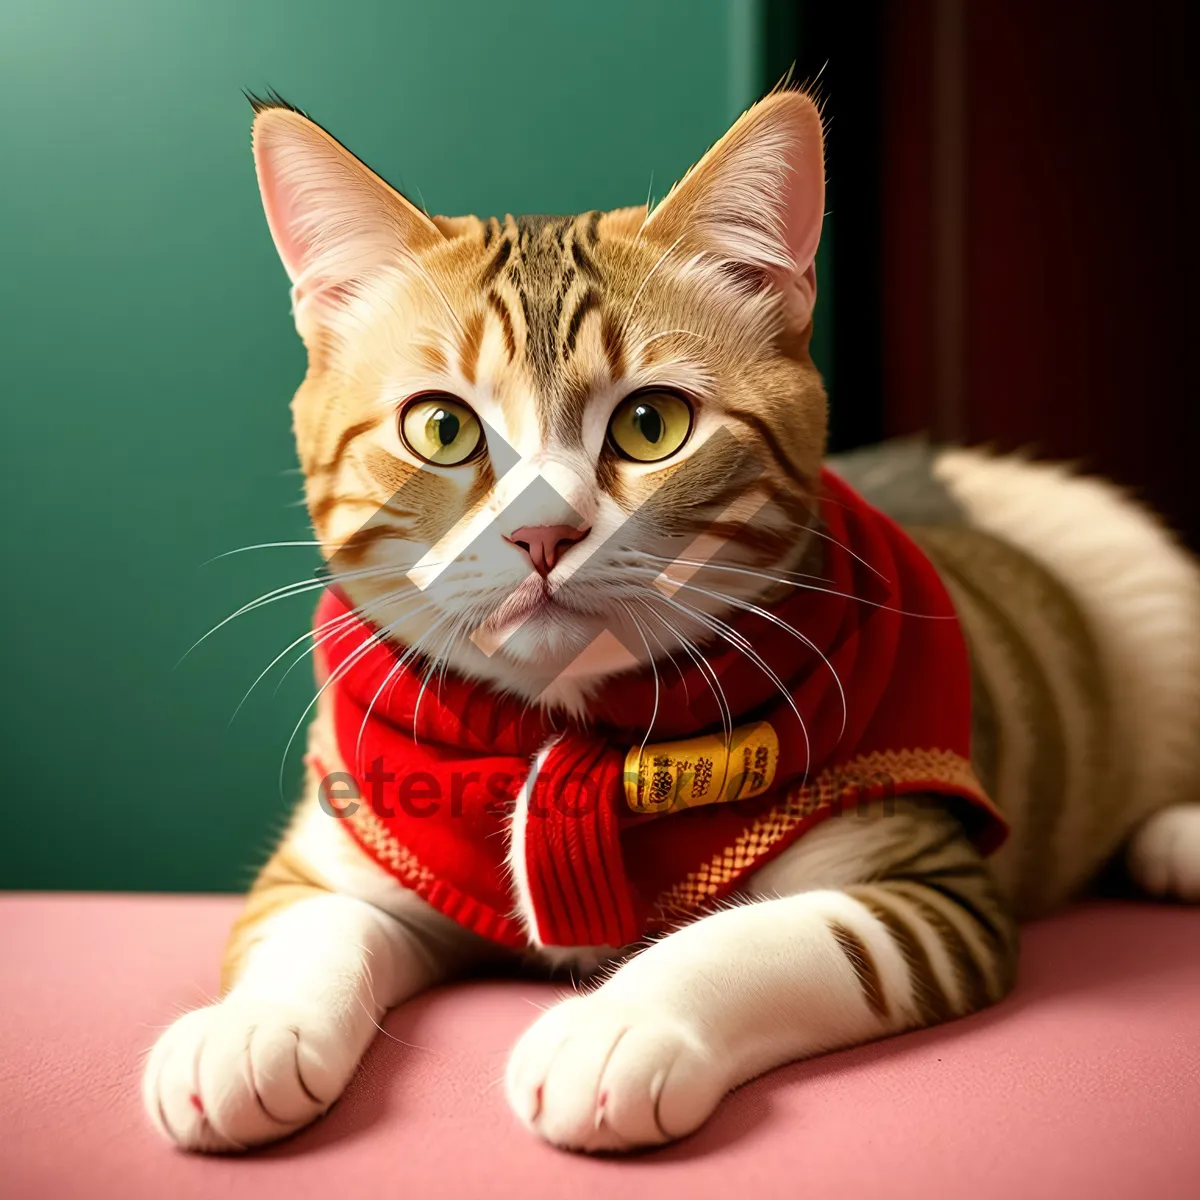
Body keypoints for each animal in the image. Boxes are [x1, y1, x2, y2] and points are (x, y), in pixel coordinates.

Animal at [142, 87, 1200, 1152]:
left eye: (652, 426)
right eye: (442, 428)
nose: (543, 533)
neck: (556, 736)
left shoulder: (927, 890)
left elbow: (757, 939)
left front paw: (614, 1026)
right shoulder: (343, 848)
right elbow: (305, 932)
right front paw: (247, 1029)